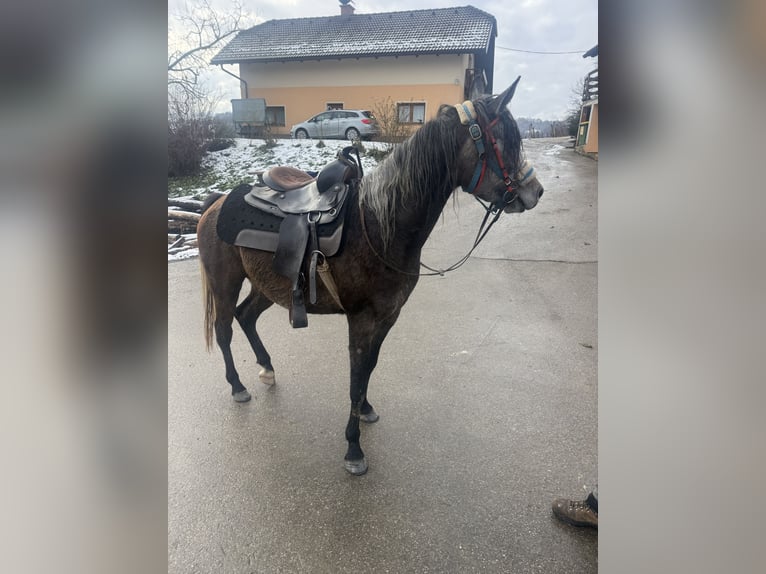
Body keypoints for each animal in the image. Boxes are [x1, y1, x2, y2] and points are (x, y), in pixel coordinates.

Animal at [197, 78, 544, 475]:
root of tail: (216, 202)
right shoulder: (361, 319)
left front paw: (365, 409)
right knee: (224, 328)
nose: (535, 191)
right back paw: (237, 385)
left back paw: (267, 368)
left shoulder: (387, 316)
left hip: (268, 286)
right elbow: (356, 375)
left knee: (246, 316)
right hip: (225, 282)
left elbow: (369, 368)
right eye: (502, 141)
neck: (380, 225)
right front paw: (353, 448)